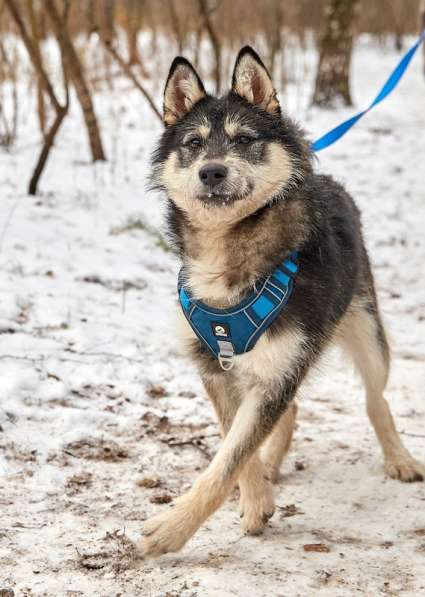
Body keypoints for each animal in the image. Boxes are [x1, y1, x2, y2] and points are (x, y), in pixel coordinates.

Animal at [138, 47, 420, 560]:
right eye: (193, 143)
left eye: (245, 139)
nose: (212, 171)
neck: (229, 253)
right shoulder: (217, 367)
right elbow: (236, 444)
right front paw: (257, 497)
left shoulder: (277, 370)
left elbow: (228, 459)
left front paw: (172, 527)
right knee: (290, 413)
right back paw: (271, 464)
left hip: (367, 333)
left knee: (376, 399)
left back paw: (399, 458)